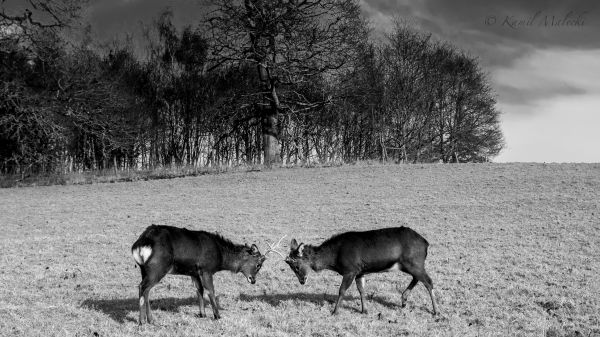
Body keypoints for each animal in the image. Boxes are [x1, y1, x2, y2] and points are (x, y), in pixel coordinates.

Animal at [131, 224, 284, 322]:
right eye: (258, 264)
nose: (253, 280)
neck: (220, 256)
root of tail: (140, 244)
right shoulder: (206, 269)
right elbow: (211, 290)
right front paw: (217, 316)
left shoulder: (193, 272)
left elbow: (199, 290)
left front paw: (202, 314)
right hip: (158, 267)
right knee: (143, 287)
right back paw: (142, 321)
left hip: (144, 269)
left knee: (145, 290)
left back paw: (150, 319)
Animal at [284, 226, 438, 316]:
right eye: (290, 267)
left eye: (296, 265)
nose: (302, 281)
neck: (334, 259)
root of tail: (426, 243)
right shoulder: (360, 271)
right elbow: (362, 290)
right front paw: (364, 310)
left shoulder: (350, 270)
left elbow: (341, 290)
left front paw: (335, 311)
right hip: (409, 264)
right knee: (418, 278)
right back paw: (404, 300)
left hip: (414, 262)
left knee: (428, 282)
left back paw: (436, 311)